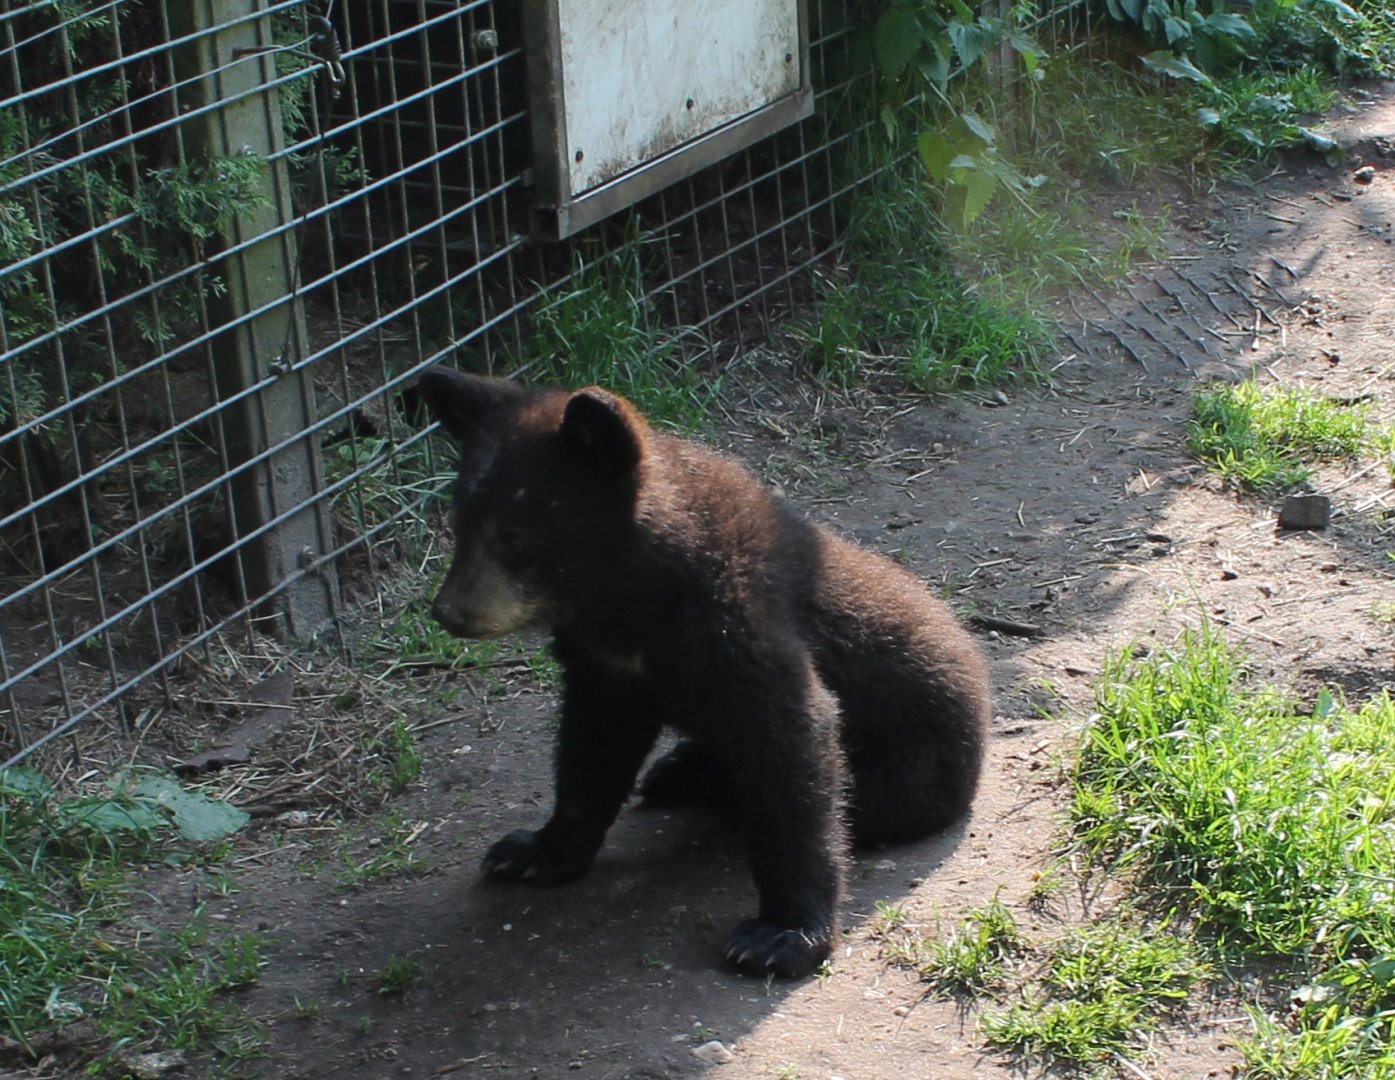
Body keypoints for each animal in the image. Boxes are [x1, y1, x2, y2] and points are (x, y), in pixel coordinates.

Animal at [416, 366, 991, 978]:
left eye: (515, 535)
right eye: (459, 524)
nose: (448, 612)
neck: (624, 600)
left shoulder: (735, 623)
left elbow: (792, 741)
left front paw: (779, 936)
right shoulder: (604, 666)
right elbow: (590, 750)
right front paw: (532, 853)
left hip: (910, 767)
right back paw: (676, 770)